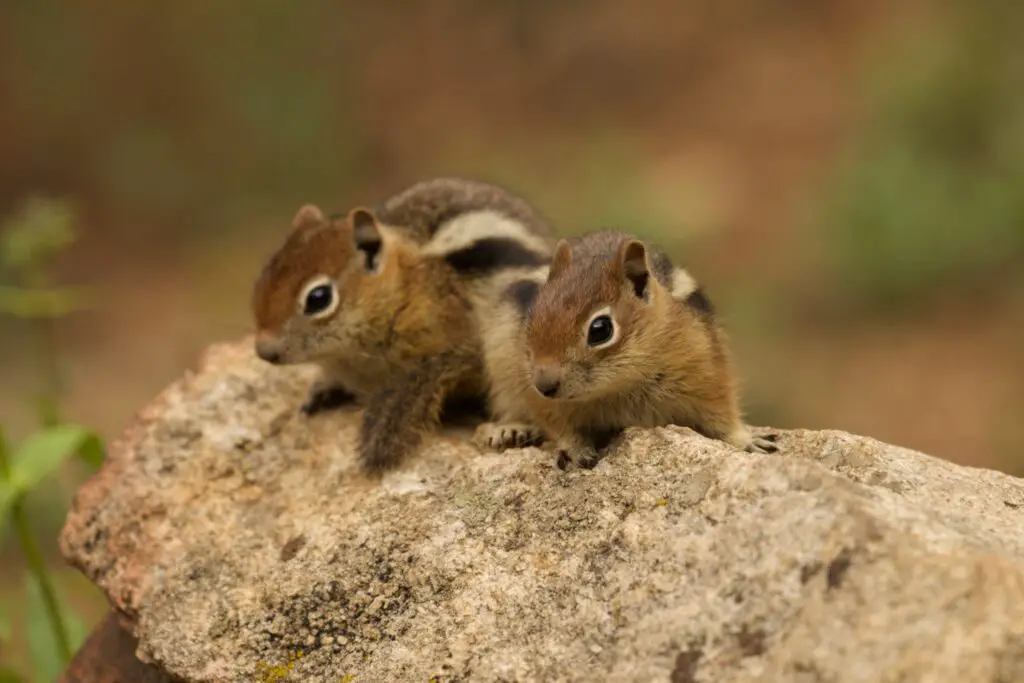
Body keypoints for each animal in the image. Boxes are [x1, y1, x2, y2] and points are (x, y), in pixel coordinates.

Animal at [475, 229, 778, 471]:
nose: (544, 385)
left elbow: (724, 416)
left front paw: (748, 440)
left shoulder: (707, 370)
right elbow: (559, 425)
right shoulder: (539, 394)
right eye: (532, 315)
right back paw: (510, 429)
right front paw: (574, 449)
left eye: (600, 329)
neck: (621, 386)